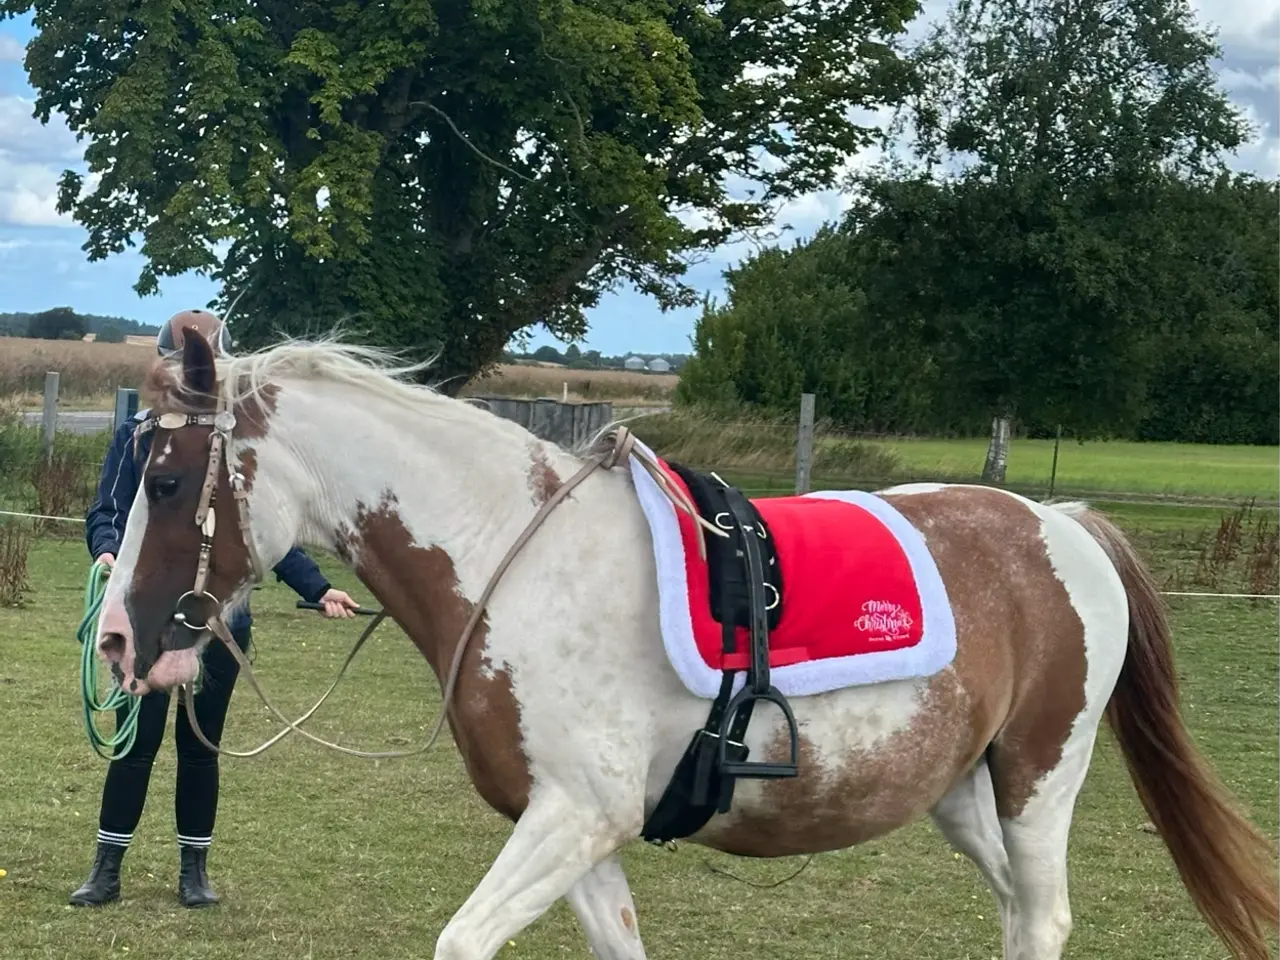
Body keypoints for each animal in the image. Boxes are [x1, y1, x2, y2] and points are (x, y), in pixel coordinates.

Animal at [94, 328, 1277, 960]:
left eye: (168, 478)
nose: (115, 641)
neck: (514, 555)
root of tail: (1059, 524)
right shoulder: (574, 830)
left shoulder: (578, 815)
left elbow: (462, 939)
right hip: (959, 794)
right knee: (1018, 916)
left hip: (1040, 780)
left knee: (1038, 915)